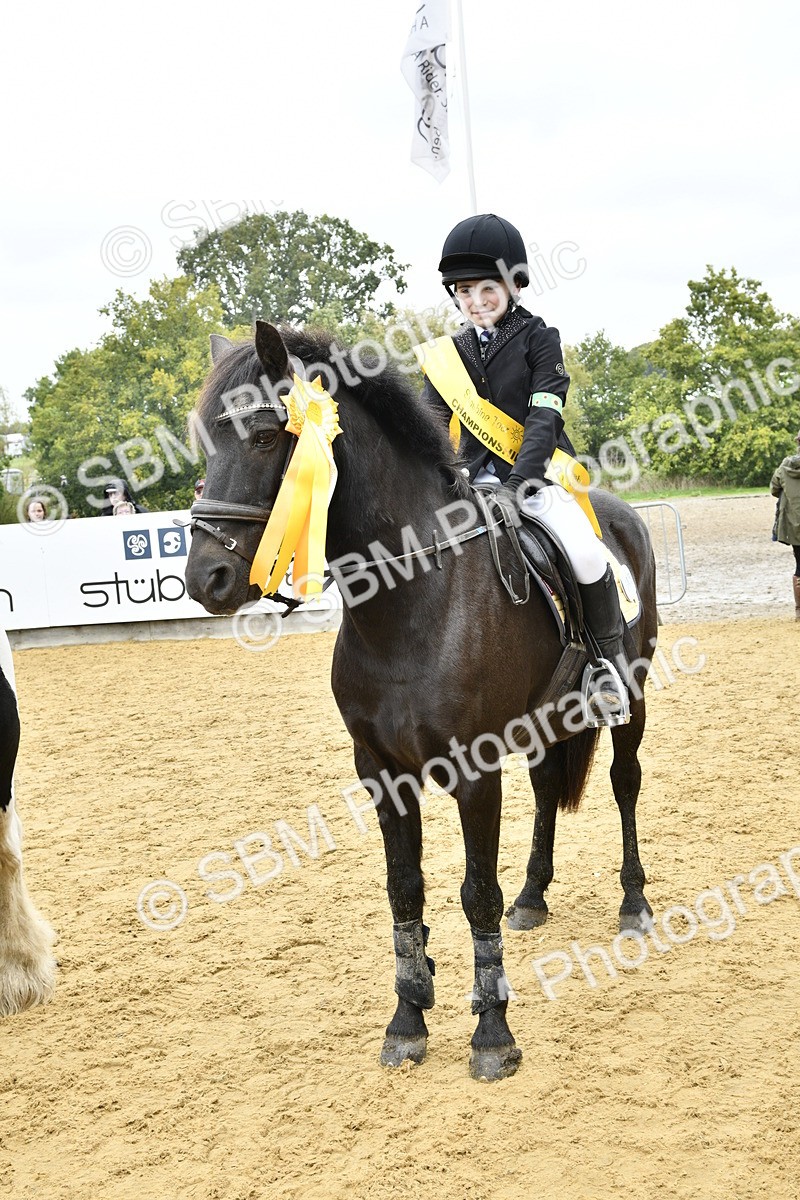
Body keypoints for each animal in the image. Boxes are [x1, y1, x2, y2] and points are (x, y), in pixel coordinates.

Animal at [185, 321, 658, 1080]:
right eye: (204, 443)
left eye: (261, 436)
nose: (209, 578)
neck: (412, 602)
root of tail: (619, 513)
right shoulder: (380, 771)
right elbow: (404, 888)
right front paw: (408, 1019)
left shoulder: (475, 770)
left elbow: (475, 892)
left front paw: (492, 1032)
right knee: (548, 788)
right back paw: (534, 897)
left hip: (632, 699)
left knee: (624, 782)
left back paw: (634, 902)